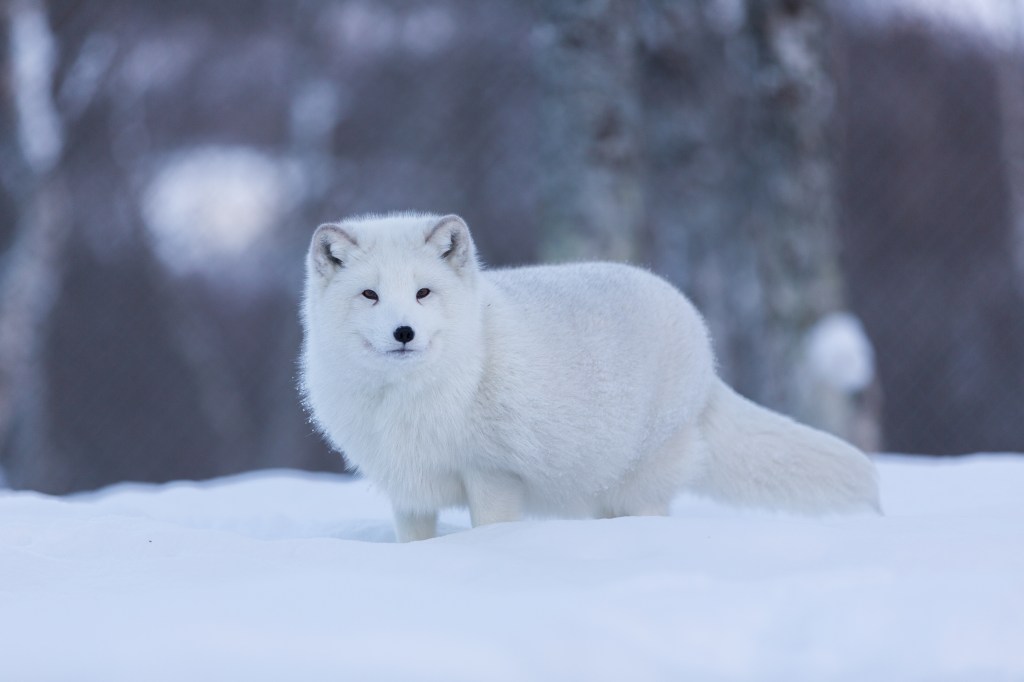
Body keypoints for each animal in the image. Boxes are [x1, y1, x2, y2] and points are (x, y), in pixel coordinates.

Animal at [299, 209, 880, 540]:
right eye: (370, 295)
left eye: (423, 292)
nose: (403, 332)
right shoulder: (410, 490)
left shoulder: (492, 475)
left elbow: (490, 533)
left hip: (637, 488)